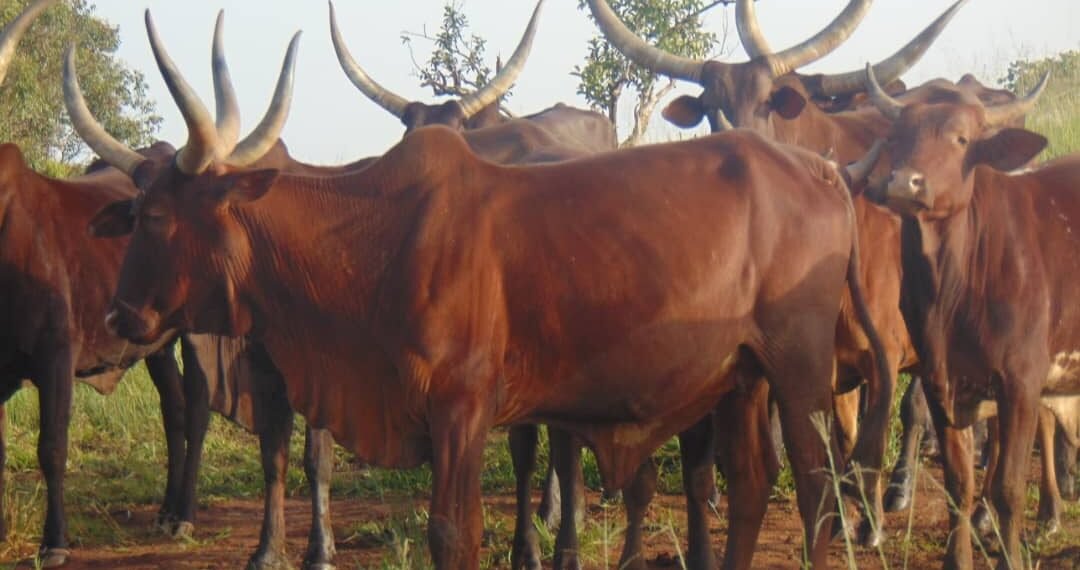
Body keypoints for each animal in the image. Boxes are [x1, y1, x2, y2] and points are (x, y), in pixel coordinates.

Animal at [66, 11, 894, 569]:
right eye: (131, 212)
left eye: (161, 216)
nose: (121, 313)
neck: (373, 234)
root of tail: (821, 170)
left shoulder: (461, 405)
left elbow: (452, 534)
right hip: (742, 376)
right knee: (752, 483)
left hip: (798, 370)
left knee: (815, 491)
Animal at [859, 64, 1073, 570]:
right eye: (899, 136)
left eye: (961, 139)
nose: (904, 183)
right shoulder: (945, 384)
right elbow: (961, 483)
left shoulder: (1020, 384)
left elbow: (1007, 487)